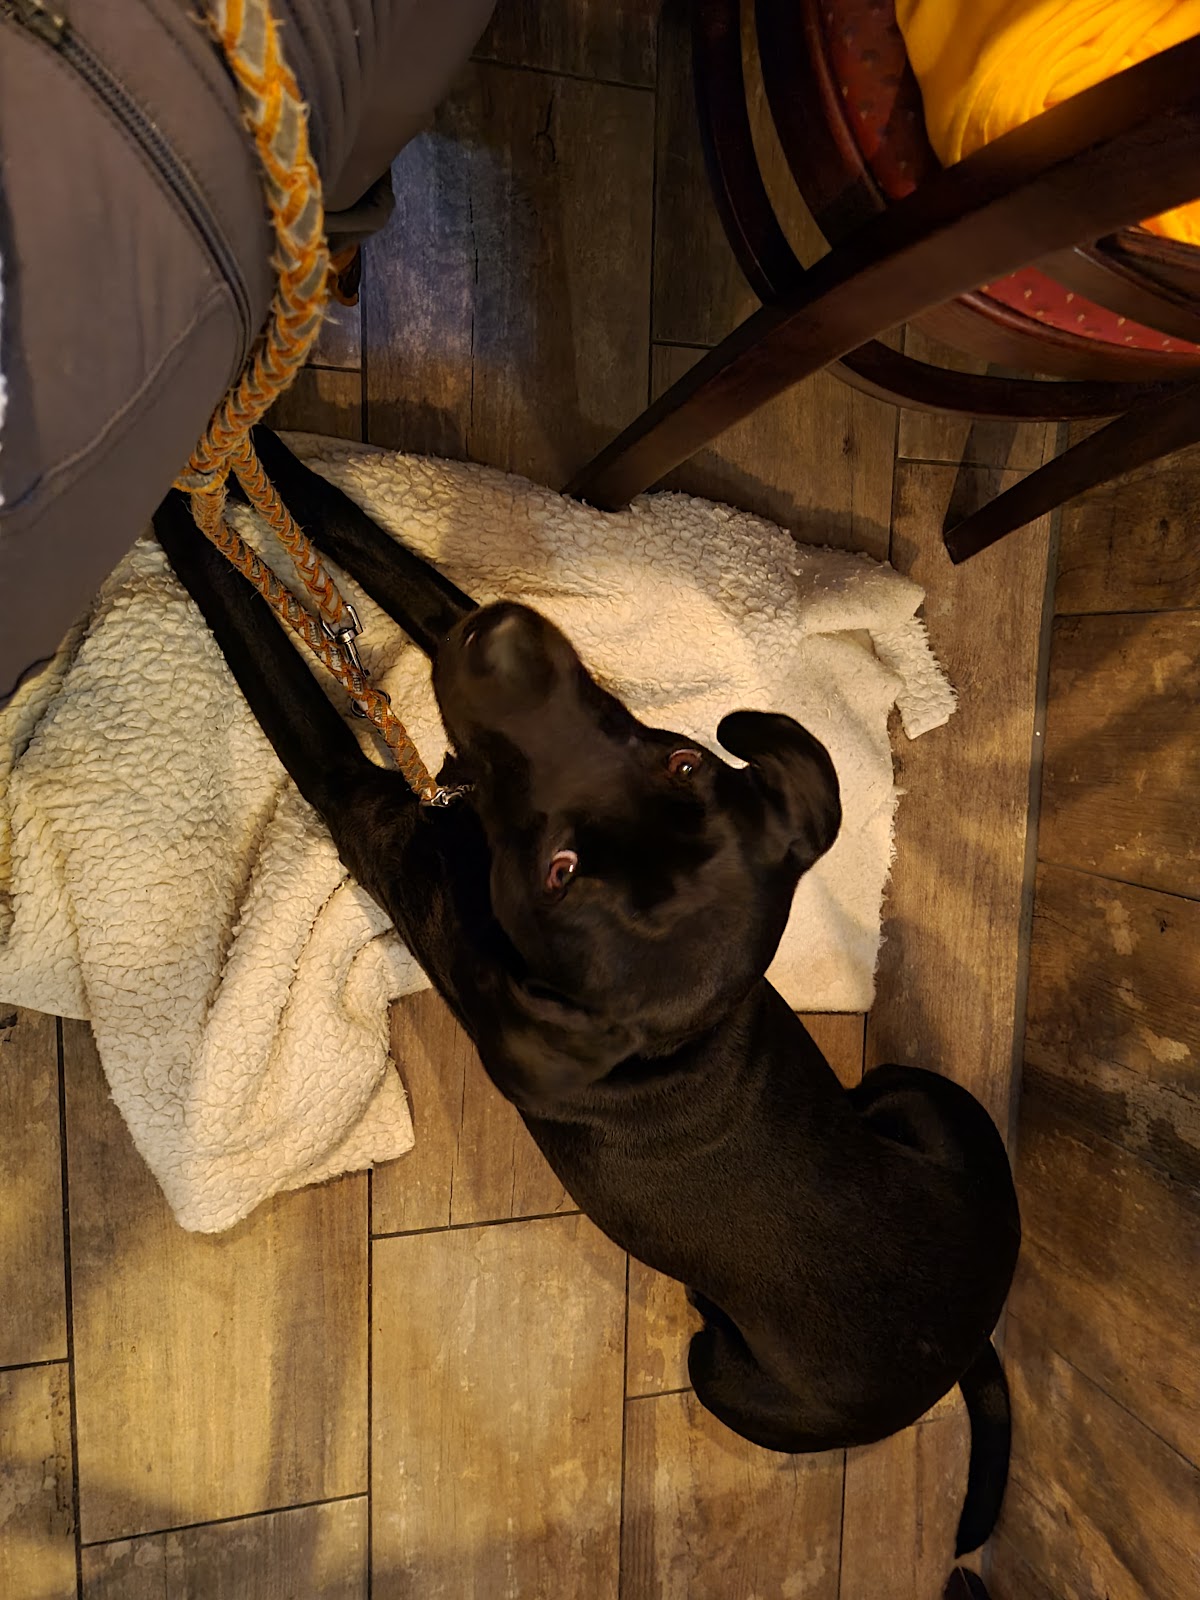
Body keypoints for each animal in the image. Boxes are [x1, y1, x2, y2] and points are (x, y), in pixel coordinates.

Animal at [153, 426, 1020, 1564]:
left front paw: (179, 506)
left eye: (560, 872)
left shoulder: (368, 809)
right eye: (682, 756)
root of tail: (963, 1348)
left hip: (730, 1369)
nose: (507, 641)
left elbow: (261, 640)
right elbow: (381, 558)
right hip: (916, 1096)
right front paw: (252, 441)